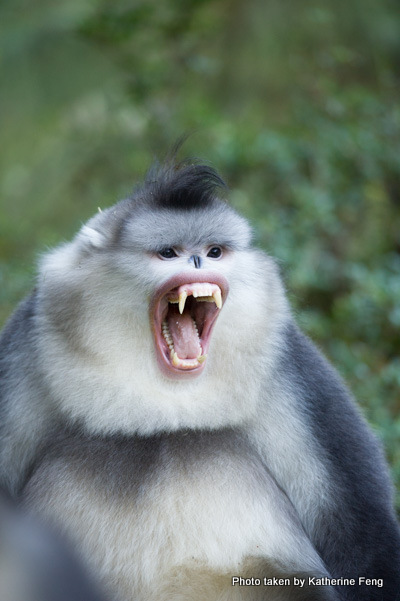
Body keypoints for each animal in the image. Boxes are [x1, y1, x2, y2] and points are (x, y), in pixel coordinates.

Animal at [0, 159, 399, 601]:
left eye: (214, 251)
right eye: (168, 252)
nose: (196, 262)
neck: (167, 405)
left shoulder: (293, 373)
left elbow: (359, 526)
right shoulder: (27, 348)